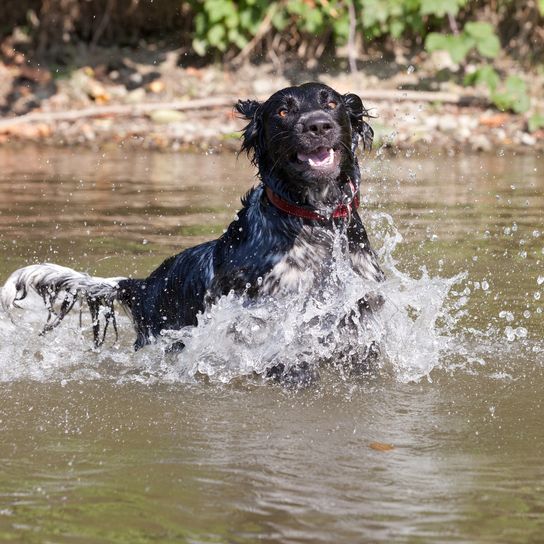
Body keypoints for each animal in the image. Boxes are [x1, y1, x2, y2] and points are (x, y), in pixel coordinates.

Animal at [0, 83, 384, 384]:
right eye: (283, 111)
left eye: (331, 103)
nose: (317, 125)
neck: (317, 223)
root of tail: (143, 285)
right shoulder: (268, 325)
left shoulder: (360, 319)